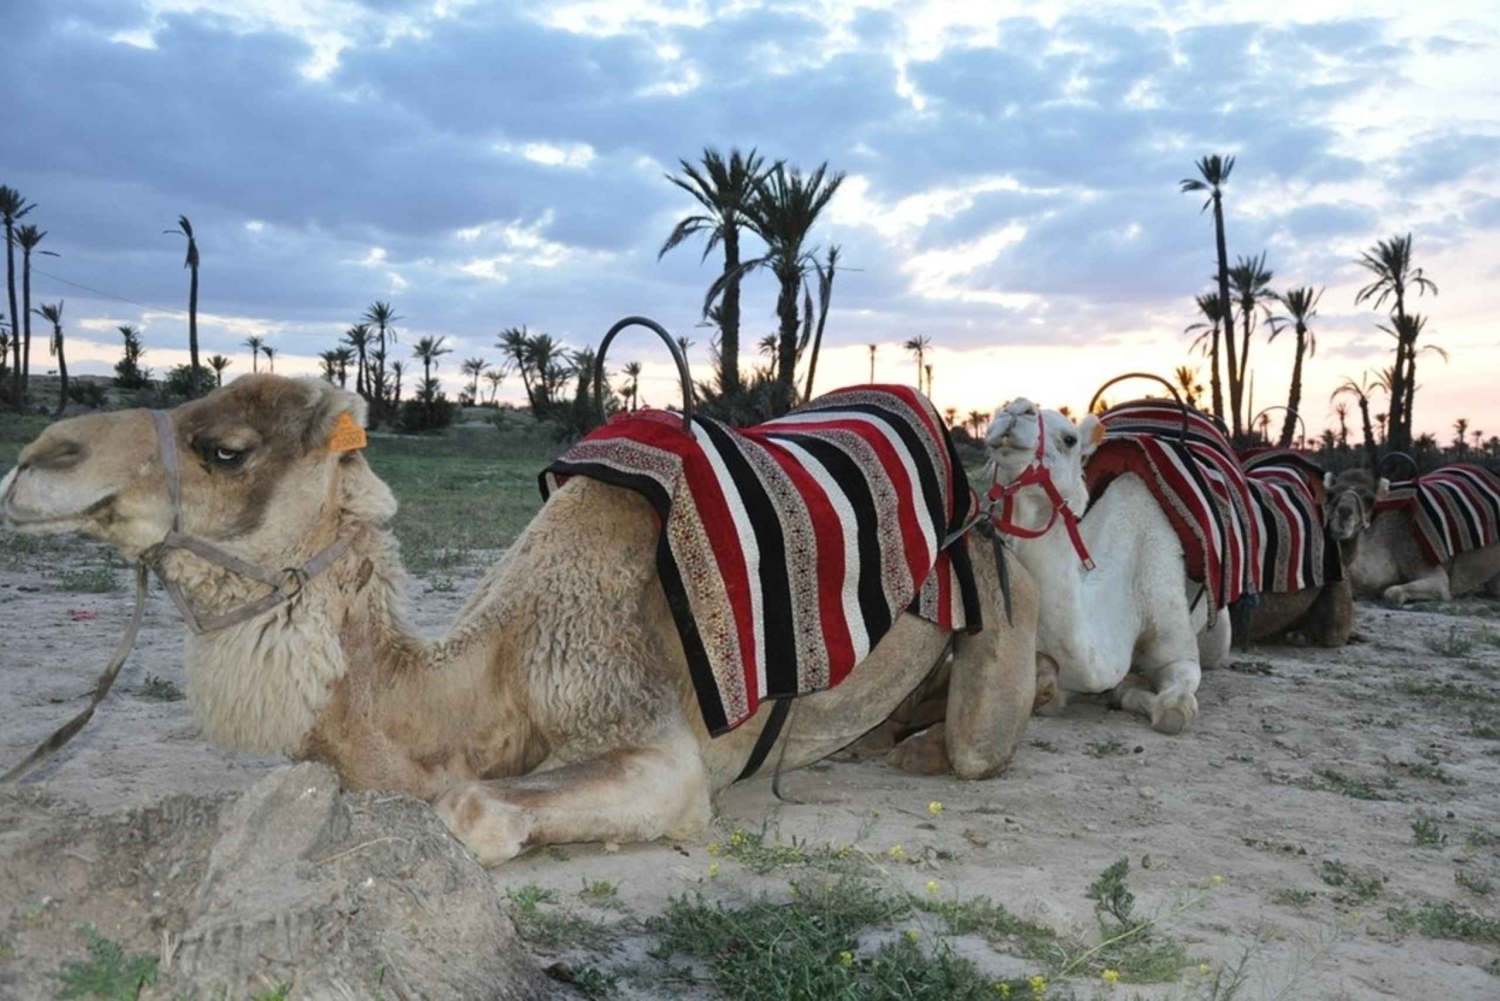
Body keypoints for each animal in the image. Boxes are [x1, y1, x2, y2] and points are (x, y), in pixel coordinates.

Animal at [0, 375, 1040, 866]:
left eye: (224, 448)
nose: (37, 458)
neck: (487, 675)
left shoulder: (650, 733)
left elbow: (470, 809)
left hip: (998, 574)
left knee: (982, 733)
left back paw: (926, 744)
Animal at [983, 399, 1228, 734]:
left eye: (1070, 439)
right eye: (997, 413)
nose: (1017, 409)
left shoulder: (1180, 651)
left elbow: (1174, 710)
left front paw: (1134, 690)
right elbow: (1048, 690)